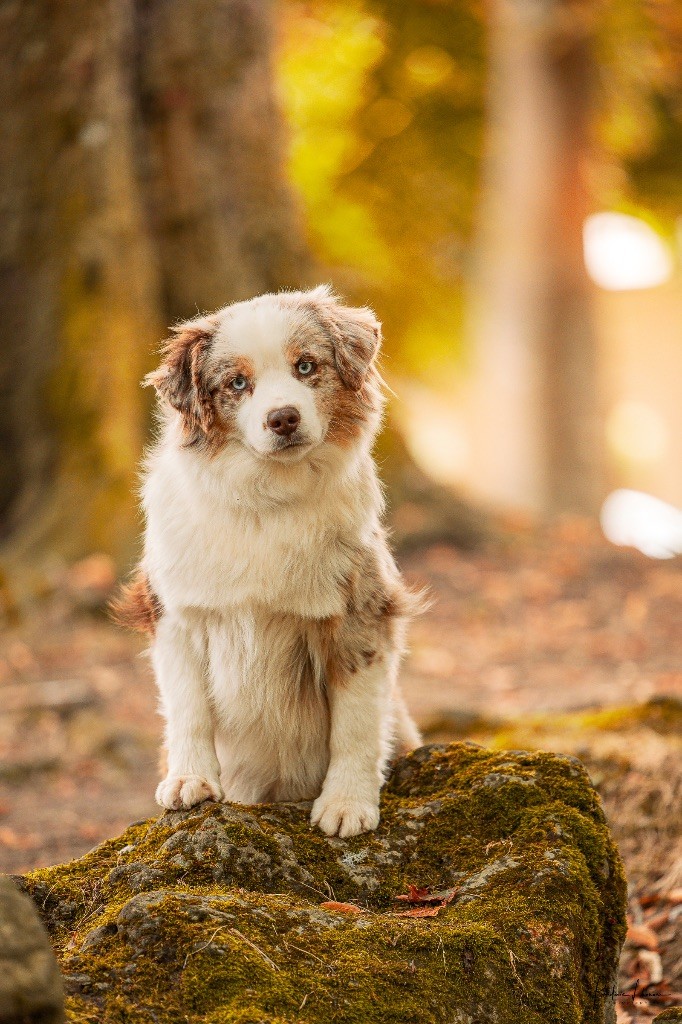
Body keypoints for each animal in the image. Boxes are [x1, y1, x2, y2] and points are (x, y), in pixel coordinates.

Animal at [112, 284, 419, 835]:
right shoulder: (175, 614)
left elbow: (356, 724)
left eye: (305, 366)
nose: (283, 418)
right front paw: (189, 780)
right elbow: (188, 708)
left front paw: (346, 803)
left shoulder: (360, 615)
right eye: (237, 383)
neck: (266, 501)